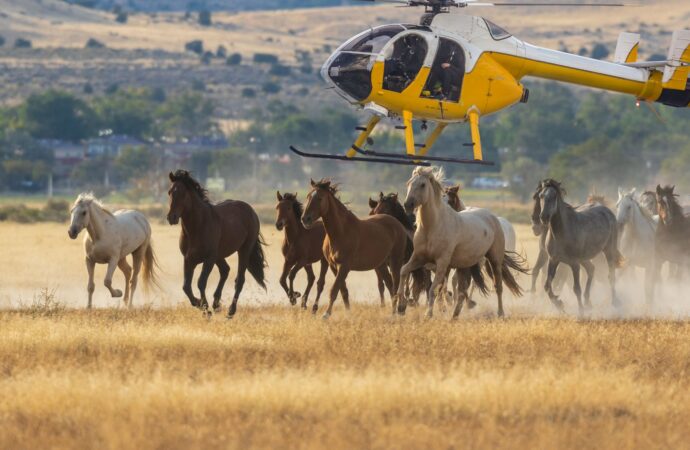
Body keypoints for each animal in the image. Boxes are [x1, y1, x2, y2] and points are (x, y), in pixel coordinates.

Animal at [167, 171, 266, 318]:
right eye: (169, 192)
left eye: (183, 193)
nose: (171, 217)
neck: (197, 226)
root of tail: (251, 211)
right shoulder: (188, 259)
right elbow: (186, 286)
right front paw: (200, 303)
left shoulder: (209, 259)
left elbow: (200, 283)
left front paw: (205, 309)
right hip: (219, 255)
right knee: (225, 270)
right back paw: (216, 304)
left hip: (243, 250)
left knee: (239, 280)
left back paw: (230, 311)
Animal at [300, 178, 408, 318]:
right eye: (308, 196)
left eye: (320, 198)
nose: (305, 219)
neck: (341, 231)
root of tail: (398, 224)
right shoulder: (333, 266)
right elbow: (343, 291)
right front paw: (348, 314)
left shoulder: (344, 266)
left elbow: (334, 290)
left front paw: (326, 315)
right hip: (381, 265)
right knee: (390, 286)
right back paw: (394, 312)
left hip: (395, 261)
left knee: (396, 286)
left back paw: (397, 313)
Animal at [396, 167, 524, 318]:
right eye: (409, 183)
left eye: (422, 184)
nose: (408, 204)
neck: (433, 226)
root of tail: (493, 217)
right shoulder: (419, 258)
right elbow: (404, 271)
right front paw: (400, 306)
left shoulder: (442, 263)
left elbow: (434, 288)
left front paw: (429, 314)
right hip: (464, 266)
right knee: (462, 291)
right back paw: (454, 315)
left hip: (495, 260)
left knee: (497, 286)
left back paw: (500, 313)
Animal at [532, 179, 624, 316]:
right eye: (541, 196)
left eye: (554, 196)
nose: (543, 218)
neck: (562, 232)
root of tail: (607, 211)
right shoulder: (553, 260)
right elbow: (547, 285)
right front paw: (559, 304)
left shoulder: (574, 263)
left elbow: (576, 288)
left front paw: (580, 312)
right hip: (584, 258)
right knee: (591, 269)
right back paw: (588, 303)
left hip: (608, 250)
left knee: (611, 276)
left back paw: (615, 302)